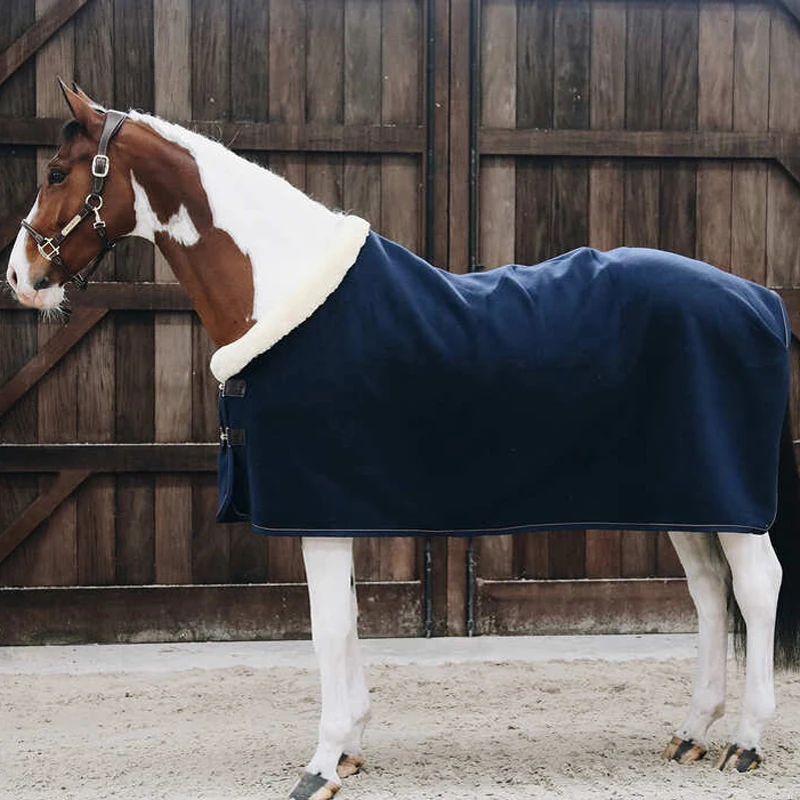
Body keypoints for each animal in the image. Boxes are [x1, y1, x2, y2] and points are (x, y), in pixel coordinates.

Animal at [6, 80, 800, 800]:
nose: (21, 277)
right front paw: (352, 749)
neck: (286, 290)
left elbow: (328, 628)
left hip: (726, 502)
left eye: (57, 174)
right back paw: (692, 733)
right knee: (708, 592)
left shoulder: (319, 509)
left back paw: (746, 742)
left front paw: (321, 765)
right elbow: (351, 621)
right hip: (687, 498)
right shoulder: (336, 511)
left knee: (757, 588)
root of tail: (760, 300)